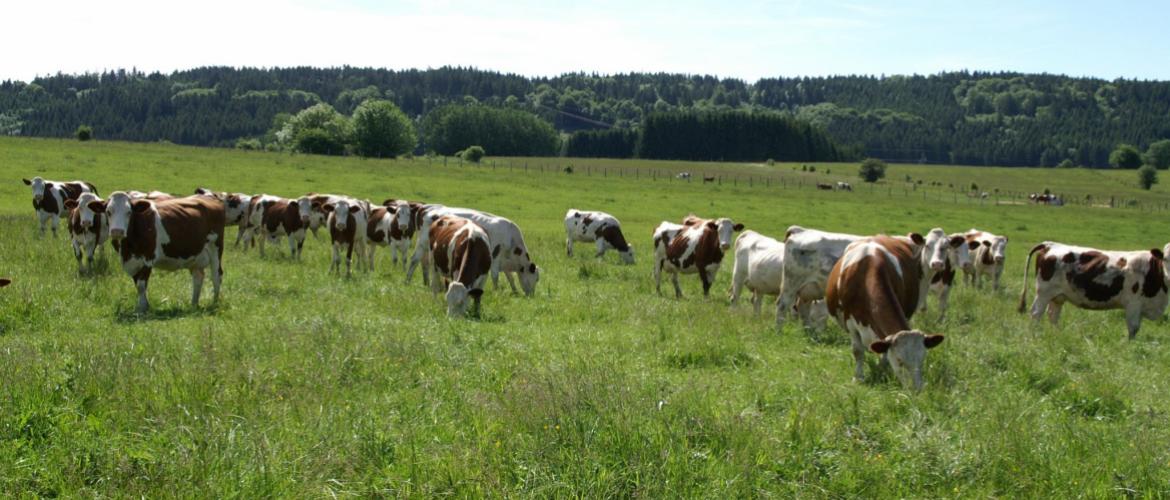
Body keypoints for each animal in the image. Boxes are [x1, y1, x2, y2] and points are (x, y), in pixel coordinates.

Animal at [88, 192, 225, 313]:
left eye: (129, 212)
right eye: (108, 212)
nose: (117, 231)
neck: (127, 247)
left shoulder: (147, 259)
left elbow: (141, 285)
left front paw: (142, 308)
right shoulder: (131, 262)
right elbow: (137, 284)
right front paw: (143, 306)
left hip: (216, 248)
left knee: (216, 275)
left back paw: (215, 303)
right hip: (195, 256)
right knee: (198, 277)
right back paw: (193, 304)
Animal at [823, 235, 940, 391]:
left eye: (922, 360)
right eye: (899, 360)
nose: (917, 389)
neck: (866, 272)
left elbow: (884, 354)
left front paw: (881, 371)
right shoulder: (851, 323)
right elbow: (857, 351)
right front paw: (858, 378)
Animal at [1015, 243, 1170, 339]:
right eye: (1166, 259)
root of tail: (1050, 245)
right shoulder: (1134, 304)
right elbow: (1133, 328)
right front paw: (1128, 347)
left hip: (1058, 296)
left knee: (1053, 315)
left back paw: (1056, 334)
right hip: (1043, 293)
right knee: (1036, 313)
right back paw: (1034, 334)